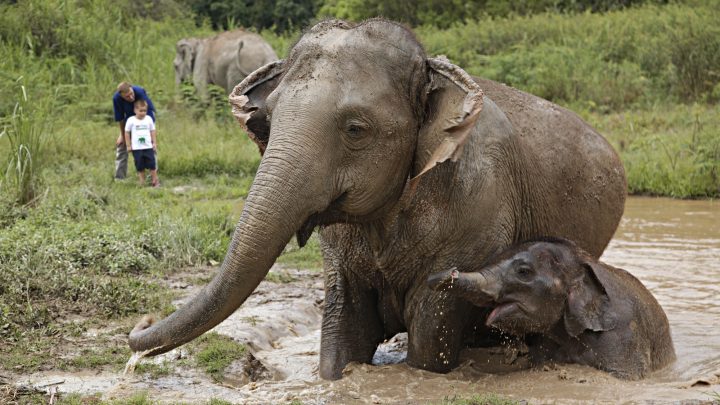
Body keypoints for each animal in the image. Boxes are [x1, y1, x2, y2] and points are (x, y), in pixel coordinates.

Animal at [129, 19, 627, 380]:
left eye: (355, 129)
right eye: (266, 121)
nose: (142, 325)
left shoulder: (480, 218)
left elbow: (430, 340)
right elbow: (345, 331)